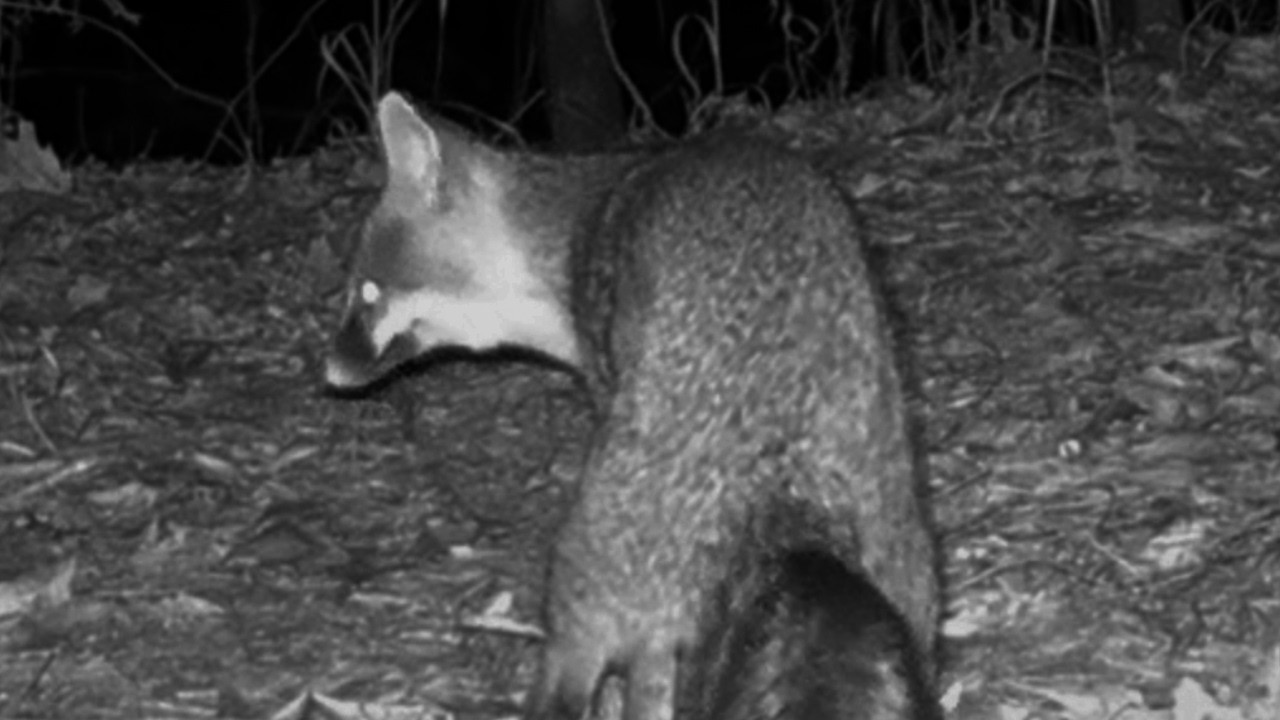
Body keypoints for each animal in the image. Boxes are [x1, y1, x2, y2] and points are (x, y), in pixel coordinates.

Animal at [324, 92, 941, 720]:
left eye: (367, 292)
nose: (328, 371)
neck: (584, 223)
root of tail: (792, 503)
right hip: (908, 591)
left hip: (581, 592)